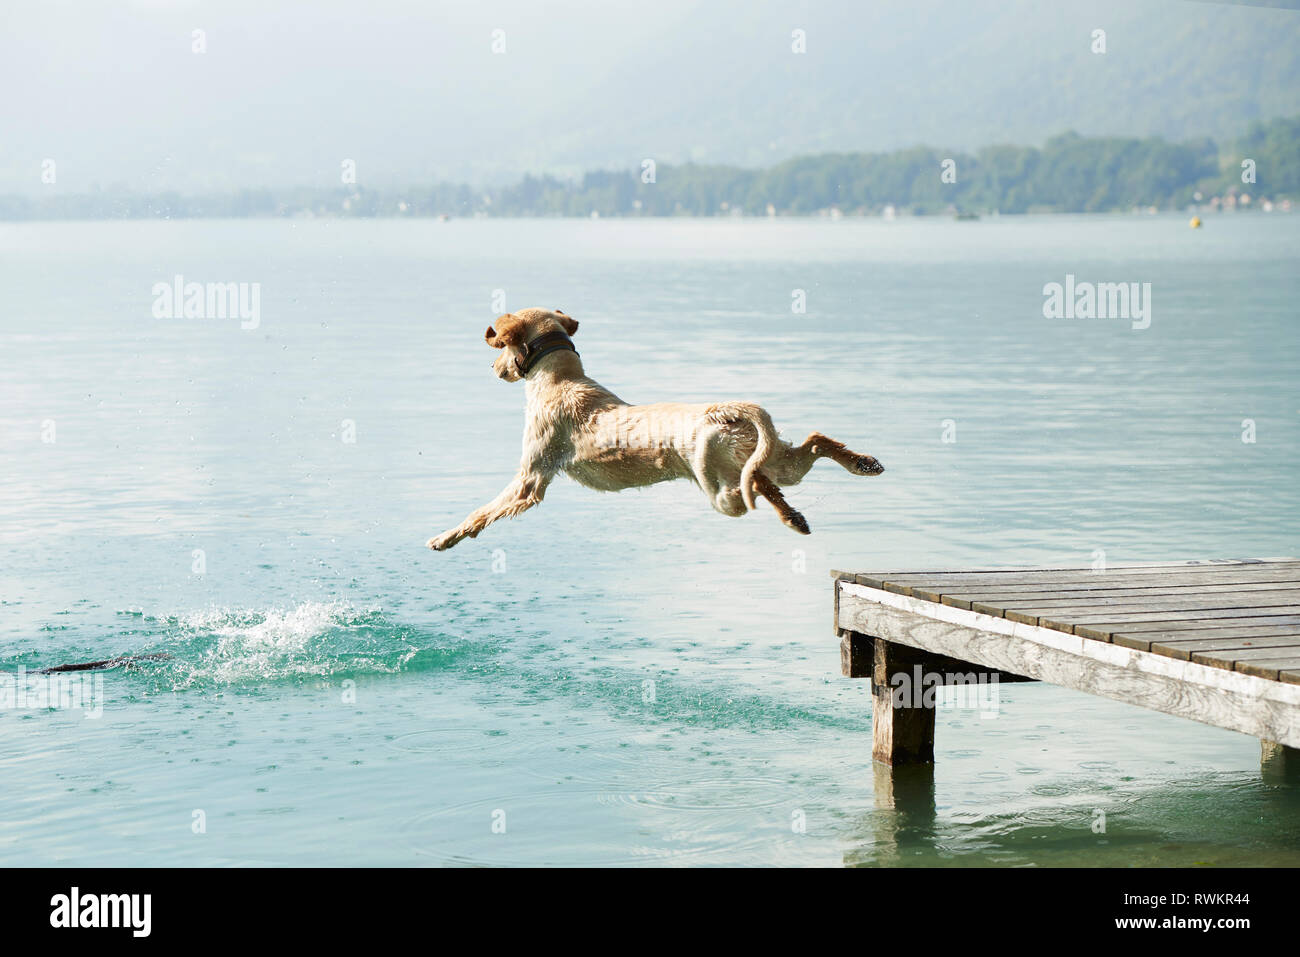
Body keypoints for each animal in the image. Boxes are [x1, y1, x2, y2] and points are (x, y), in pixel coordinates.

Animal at [426, 310, 883, 548]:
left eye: (500, 346)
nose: (492, 368)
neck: (560, 377)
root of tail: (727, 410)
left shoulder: (529, 480)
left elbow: (483, 511)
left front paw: (448, 536)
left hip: (719, 485)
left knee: (751, 487)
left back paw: (790, 513)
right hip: (772, 458)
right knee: (810, 445)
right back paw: (859, 465)